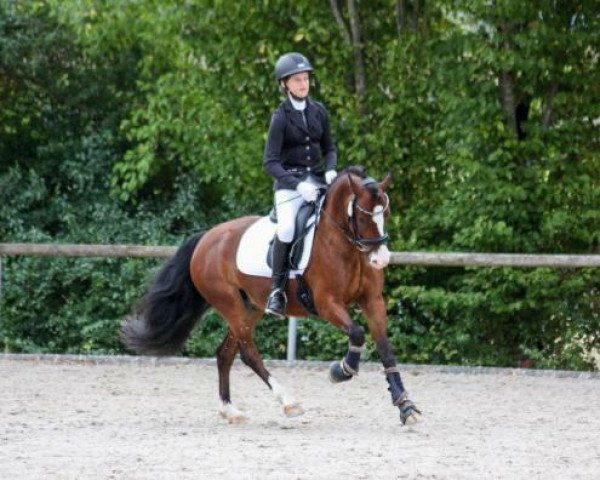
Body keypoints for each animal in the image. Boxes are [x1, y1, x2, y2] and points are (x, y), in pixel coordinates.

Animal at [119, 165, 422, 424]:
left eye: (386, 213)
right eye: (361, 215)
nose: (380, 260)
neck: (345, 245)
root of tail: (207, 237)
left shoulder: (372, 301)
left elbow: (385, 349)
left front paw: (405, 405)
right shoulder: (327, 303)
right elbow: (357, 333)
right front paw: (342, 370)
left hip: (250, 307)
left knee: (225, 353)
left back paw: (230, 410)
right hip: (231, 306)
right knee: (248, 353)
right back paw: (288, 402)